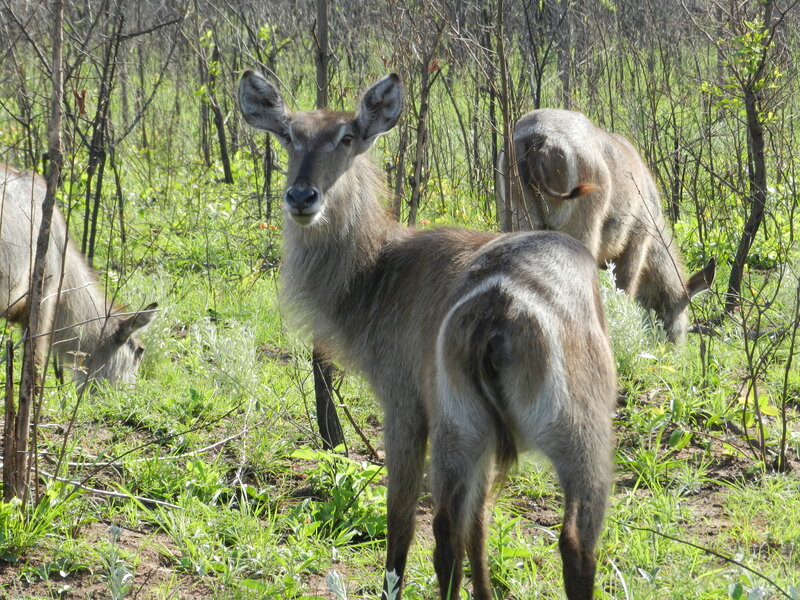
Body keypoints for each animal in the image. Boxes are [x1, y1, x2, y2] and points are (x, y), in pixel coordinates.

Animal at [239, 72, 616, 600]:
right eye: (290, 135)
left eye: (346, 137)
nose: (301, 196)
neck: (378, 271)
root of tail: (501, 303)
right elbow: (474, 525)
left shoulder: (402, 405)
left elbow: (412, 522)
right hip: (532, 433)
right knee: (553, 540)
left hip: (483, 427)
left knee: (443, 530)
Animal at [497, 108, 715, 343]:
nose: (674, 347)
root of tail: (537, 137)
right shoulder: (637, 239)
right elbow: (625, 290)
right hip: (582, 224)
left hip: (514, 216)